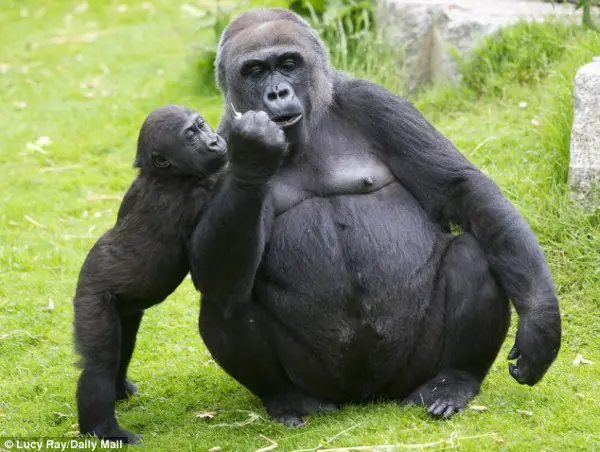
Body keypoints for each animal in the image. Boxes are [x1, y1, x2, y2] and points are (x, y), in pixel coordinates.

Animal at [72, 105, 226, 442]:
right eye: (191, 135)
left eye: (202, 125)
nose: (213, 141)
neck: (164, 173)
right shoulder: (197, 190)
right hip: (91, 298)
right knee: (100, 364)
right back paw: (105, 430)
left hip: (125, 309)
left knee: (123, 347)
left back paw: (120, 390)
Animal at [189, 7, 564, 424]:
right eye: (254, 71)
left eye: (288, 64)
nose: (277, 93)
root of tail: (368, 396)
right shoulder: (215, 144)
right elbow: (208, 267)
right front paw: (254, 156)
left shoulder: (375, 103)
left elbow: (462, 189)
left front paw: (541, 322)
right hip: (320, 380)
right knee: (223, 296)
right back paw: (287, 398)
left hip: (414, 367)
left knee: (473, 253)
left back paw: (454, 380)